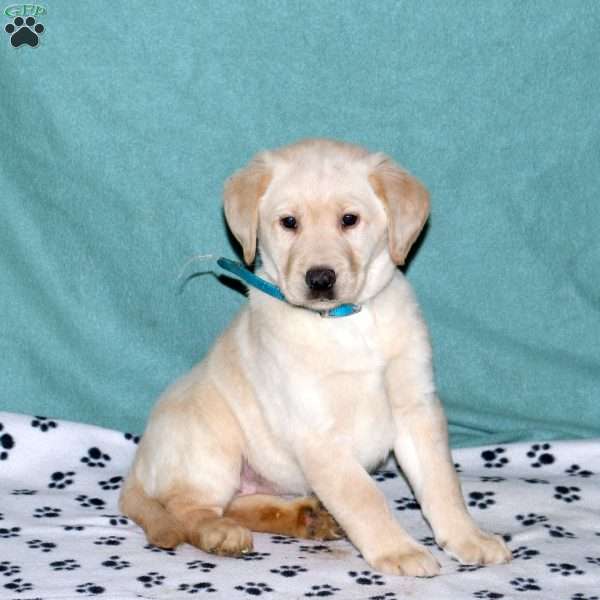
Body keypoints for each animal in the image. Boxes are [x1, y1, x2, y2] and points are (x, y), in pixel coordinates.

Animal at [120, 137, 510, 576]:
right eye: (289, 222)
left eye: (349, 219)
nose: (320, 278)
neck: (345, 323)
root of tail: (137, 465)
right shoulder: (318, 433)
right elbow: (363, 497)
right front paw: (399, 550)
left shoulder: (416, 408)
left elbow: (443, 483)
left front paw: (468, 538)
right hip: (209, 443)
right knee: (187, 508)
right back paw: (220, 533)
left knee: (238, 504)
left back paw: (306, 518)